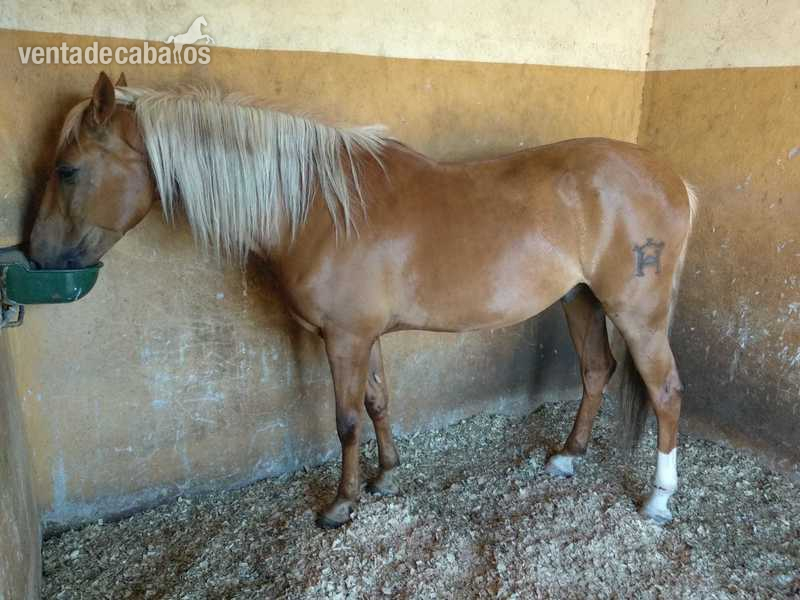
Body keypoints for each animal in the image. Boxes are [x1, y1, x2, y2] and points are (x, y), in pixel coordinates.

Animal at [29, 72, 696, 529]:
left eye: (67, 170)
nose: (37, 255)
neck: (317, 207)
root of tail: (670, 177)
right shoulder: (365, 336)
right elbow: (378, 402)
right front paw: (386, 477)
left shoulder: (345, 338)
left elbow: (346, 419)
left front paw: (340, 504)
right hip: (581, 300)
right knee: (596, 371)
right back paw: (567, 458)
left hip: (636, 313)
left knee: (664, 392)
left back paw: (659, 499)